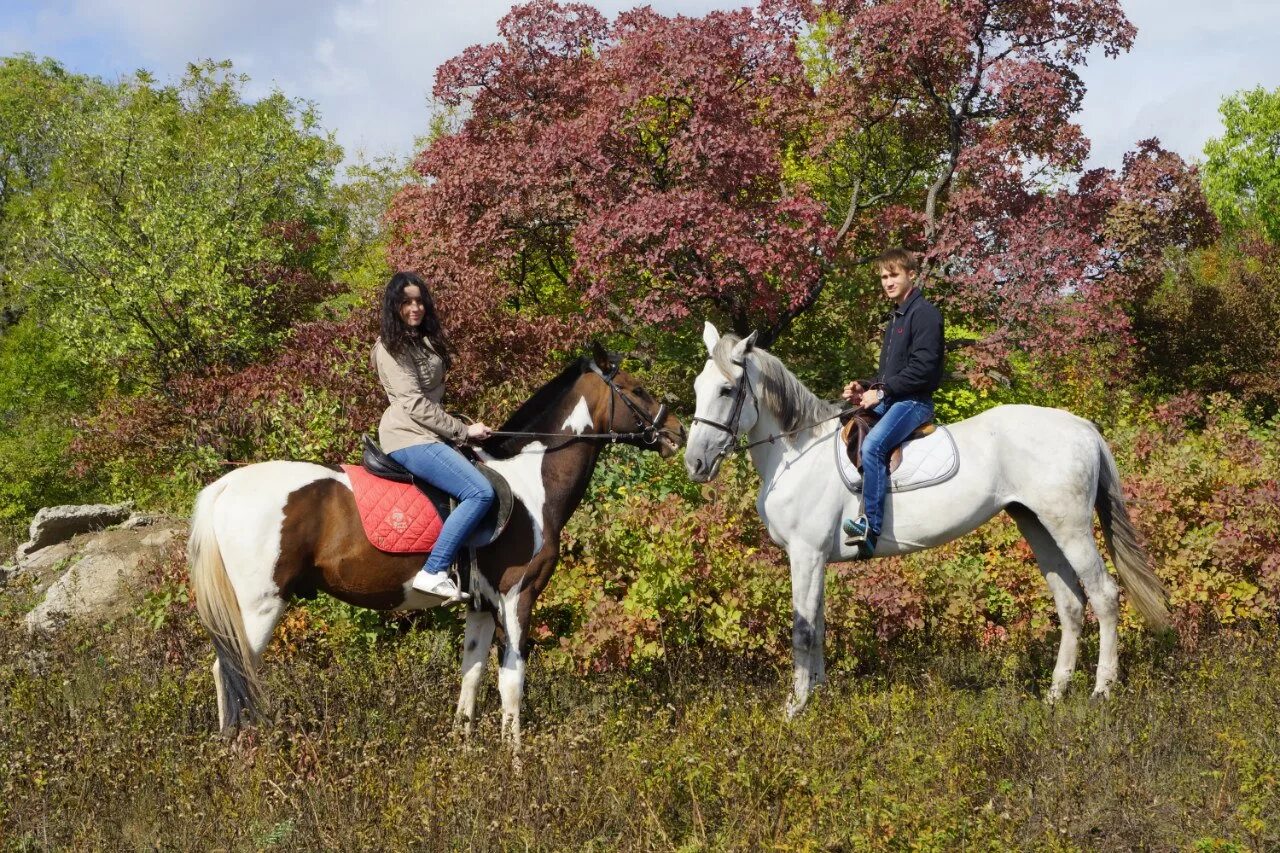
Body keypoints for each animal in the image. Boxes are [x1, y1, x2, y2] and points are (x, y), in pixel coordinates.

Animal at [186, 343, 680, 737]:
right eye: (637, 389)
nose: (675, 431)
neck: (530, 481)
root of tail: (224, 486)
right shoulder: (517, 597)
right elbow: (512, 682)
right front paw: (516, 765)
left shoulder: (481, 606)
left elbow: (471, 676)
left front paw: (463, 752)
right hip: (259, 607)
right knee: (234, 671)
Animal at [691, 318, 1172, 712]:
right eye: (698, 386)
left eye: (727, 390)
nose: (694, 463)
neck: (798, 451)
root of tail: (1083, 427)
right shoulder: (816, 560)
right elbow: (820, 624)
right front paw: (819, 695)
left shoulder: (805, 555)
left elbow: (803, 628)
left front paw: (796, 706)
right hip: (1036, 525)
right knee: (1070, 602)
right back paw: (1056, 692)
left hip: (1070, 528)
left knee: (1104, 595)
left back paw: (1101, 690)